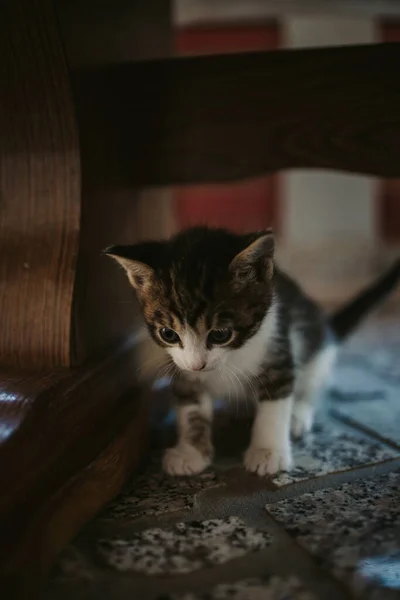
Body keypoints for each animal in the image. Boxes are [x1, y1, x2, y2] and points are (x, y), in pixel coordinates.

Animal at [105, 227, 400, 476]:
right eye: (168, 334)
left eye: (220, 334)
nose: (198, 364)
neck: (229, 358)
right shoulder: (182, 368)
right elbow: (190, 409)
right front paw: (190, 453)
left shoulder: (278, 350)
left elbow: (274, 406)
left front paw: (268, 452)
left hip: (318, 353)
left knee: (310, 388)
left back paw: (298, 415)